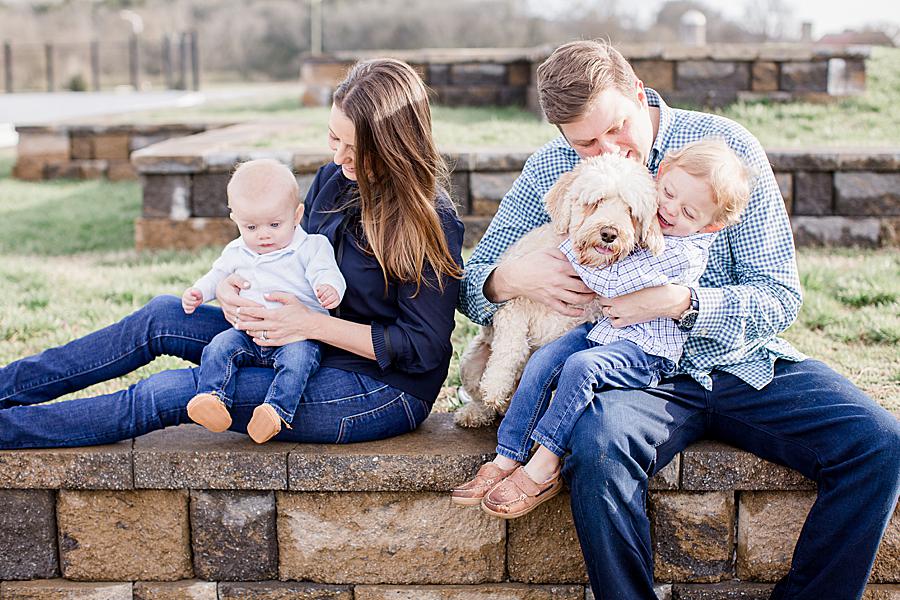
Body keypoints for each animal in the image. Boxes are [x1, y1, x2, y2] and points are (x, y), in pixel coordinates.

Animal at [458, 155, 660, 426]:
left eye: (630, 211)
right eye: (595, 202)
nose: (609, 234)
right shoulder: (514, 306)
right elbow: (510, 348)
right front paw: (496, 387)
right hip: (469, 362)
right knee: (480, 393)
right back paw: (478, 411)